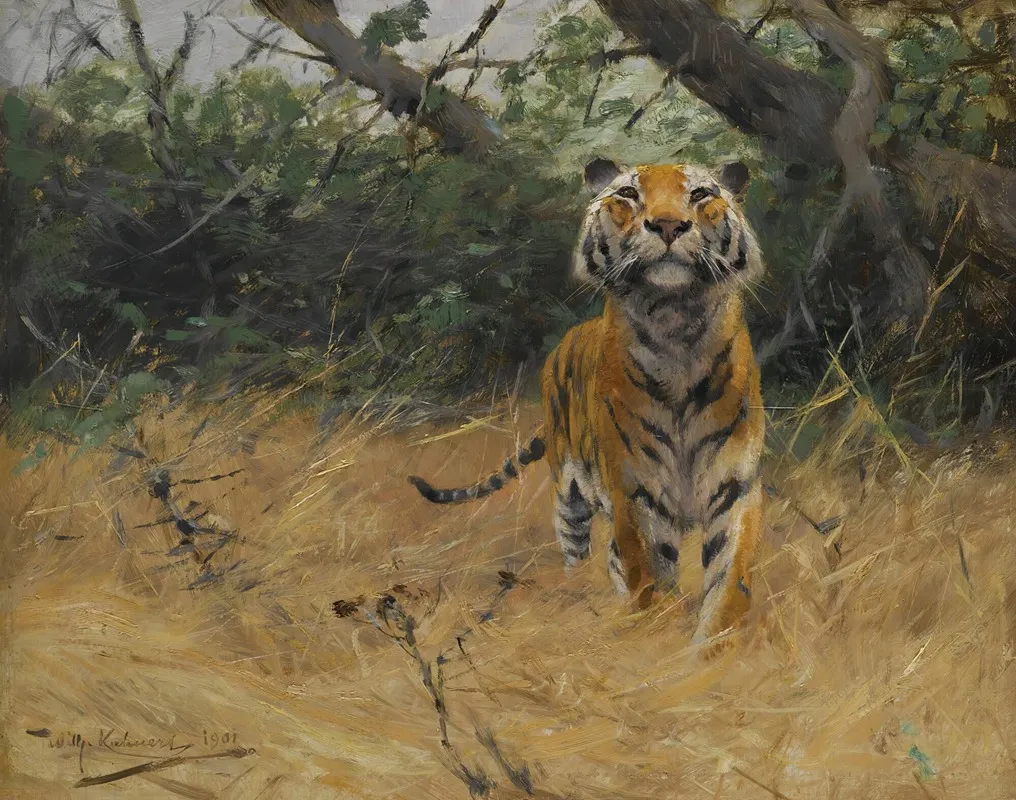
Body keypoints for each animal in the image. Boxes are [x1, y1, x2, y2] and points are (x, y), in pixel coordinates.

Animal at [409, 157, 766, 647]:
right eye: (629, 194)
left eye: (700, 194)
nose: (668, 224)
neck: (676, 322)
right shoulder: (636, 488)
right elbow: (650, 571)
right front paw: (658, 637)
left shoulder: (735, 485)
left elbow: (729, 578)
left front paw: (712, 648)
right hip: (568, 496)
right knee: (581, 551)